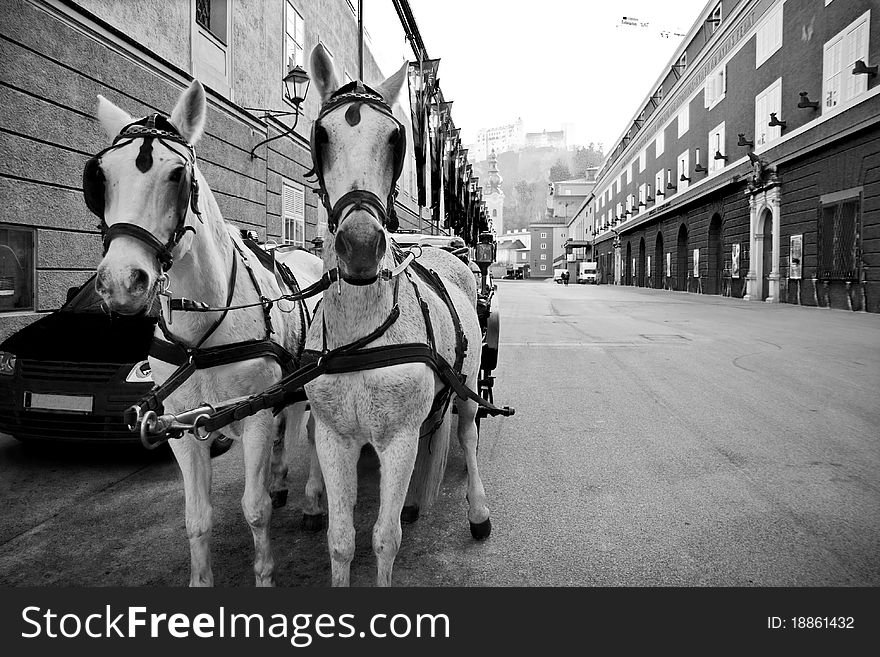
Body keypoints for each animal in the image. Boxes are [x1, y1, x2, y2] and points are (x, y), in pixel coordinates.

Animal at [89, 79, 324, 588]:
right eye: (102, 177)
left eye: (177, 175)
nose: (121, 282)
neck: (202, 334)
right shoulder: (179, 426)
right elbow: (197, 519)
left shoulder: (254, 417)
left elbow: (254, 510)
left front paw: (264, 575)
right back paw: (280, 480)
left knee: (313, 435)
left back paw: (314, 500)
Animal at [304, 46, 488, 588]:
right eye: (322, 137)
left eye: (394, 139)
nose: (362, 247)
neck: (361, 336)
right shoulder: (334, 438)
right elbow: (341, 541)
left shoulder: (398, 439)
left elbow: (384, 538)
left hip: (468, 384)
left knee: (467, 432)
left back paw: (477, 511)